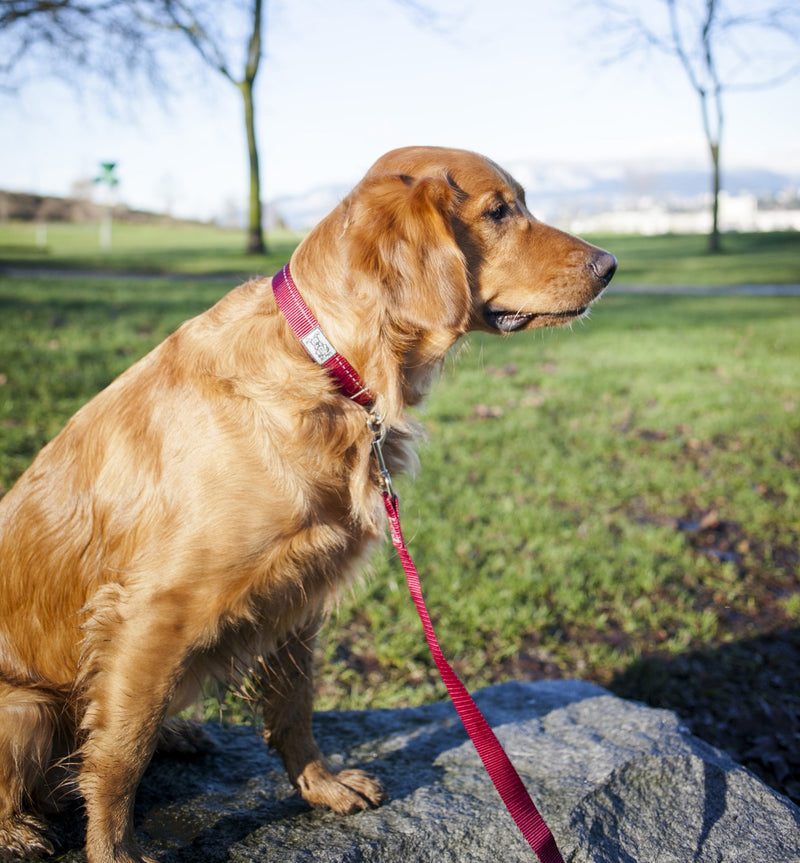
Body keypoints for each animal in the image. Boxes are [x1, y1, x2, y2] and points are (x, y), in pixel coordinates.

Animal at [0, 145, 620, 860]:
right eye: (498, 211)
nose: (610, 265)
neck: (327, 364)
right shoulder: (153, 610)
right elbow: (120, 754)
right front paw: (115, 851)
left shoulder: (297, 590)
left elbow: (295, 707)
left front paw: (320, 785)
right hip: (28, 709)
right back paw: (21, 827)